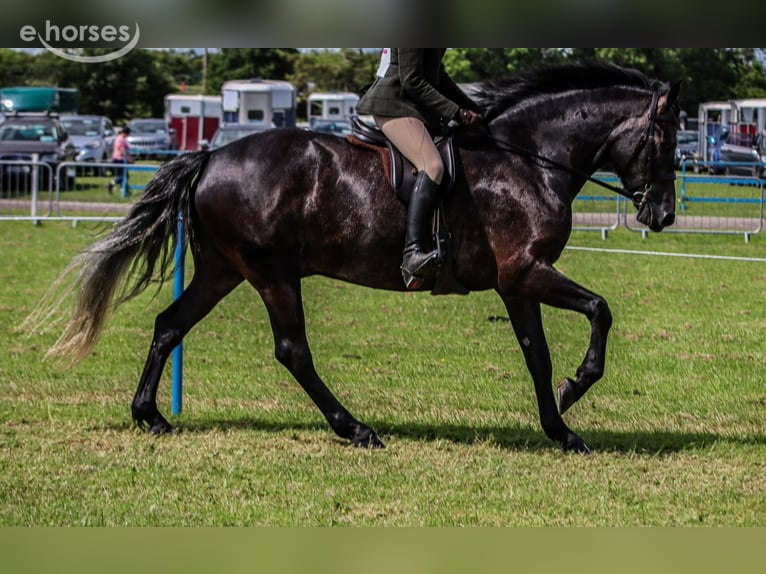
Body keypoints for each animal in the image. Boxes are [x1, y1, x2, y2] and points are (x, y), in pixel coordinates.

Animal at [31, 63, 681, 454]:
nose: (663, 216)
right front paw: (577, 391)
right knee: (292, 350)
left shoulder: (516, 282)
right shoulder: (526, 272)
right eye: (667, 138)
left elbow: (538, 358)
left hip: (223, 270)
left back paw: (151, 415)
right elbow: (600, 309)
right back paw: (355, 428)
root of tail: (210, 157)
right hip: (271, 273)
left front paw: (561, 426)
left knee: (170, 325)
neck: (528, 160)